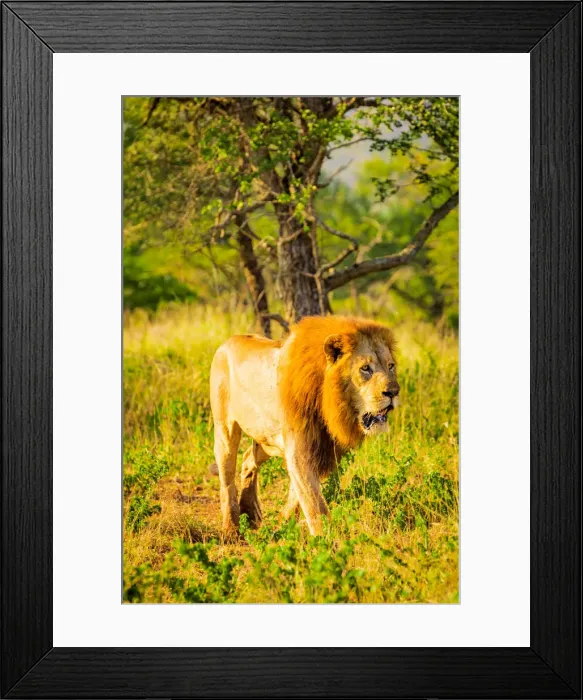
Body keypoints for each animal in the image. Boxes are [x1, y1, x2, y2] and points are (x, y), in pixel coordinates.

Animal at [209, 315, 400, 536]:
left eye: (391, 366)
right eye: (365, 368)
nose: (394, 392)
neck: (330, 402)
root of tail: (227, 342)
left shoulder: (322, 447)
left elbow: (298, 495)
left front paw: (283, 523)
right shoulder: (299, 449)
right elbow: (315, 505)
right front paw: (328, 541)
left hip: (269, 440)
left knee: (249, 458)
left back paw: (251, 513)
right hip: (226, 429)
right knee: (227, 478)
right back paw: (230, 528)